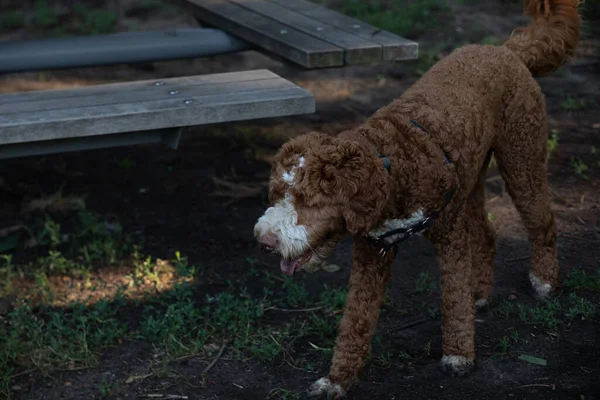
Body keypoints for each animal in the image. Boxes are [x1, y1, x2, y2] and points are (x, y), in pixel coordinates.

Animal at [252, 0, 580, 396]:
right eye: (278, 194)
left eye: (308, 201)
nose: (265, 241)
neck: (391, 166)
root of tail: (506, 50)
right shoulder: (373, 252)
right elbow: (356, 320)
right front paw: (337, 379)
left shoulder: (449, 236)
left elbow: (452, 294)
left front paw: (458, 355)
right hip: (472, 179)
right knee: (486, 234)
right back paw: (480, 291)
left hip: (522, 157)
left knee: (543, 222)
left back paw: (544, 280)